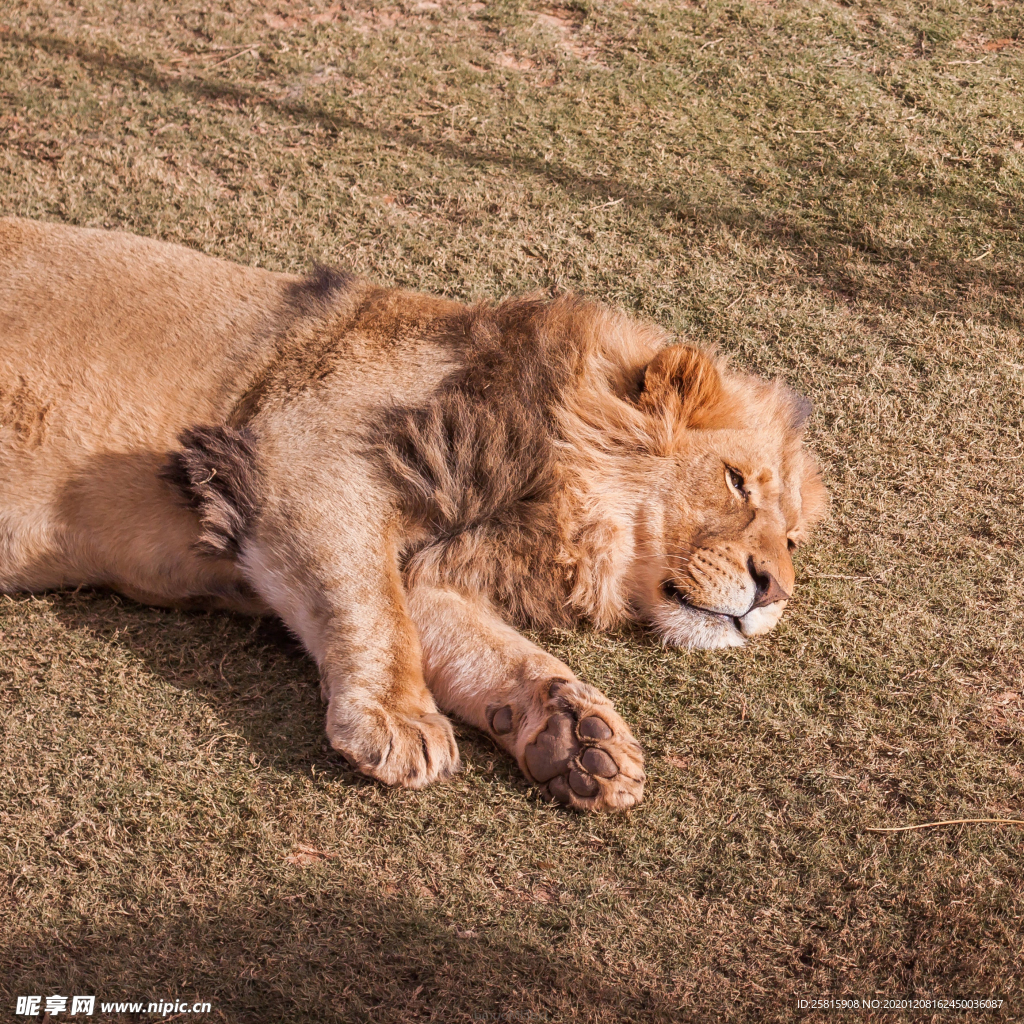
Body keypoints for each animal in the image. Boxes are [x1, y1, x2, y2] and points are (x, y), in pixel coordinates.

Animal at [0, 220, 827, 811]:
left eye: (790, 539)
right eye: (736, 482)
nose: (775, 592)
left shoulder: (416, 561)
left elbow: (474, 642)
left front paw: (576, 733)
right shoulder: (295, 461)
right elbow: (374, 610)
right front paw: (398, 722)